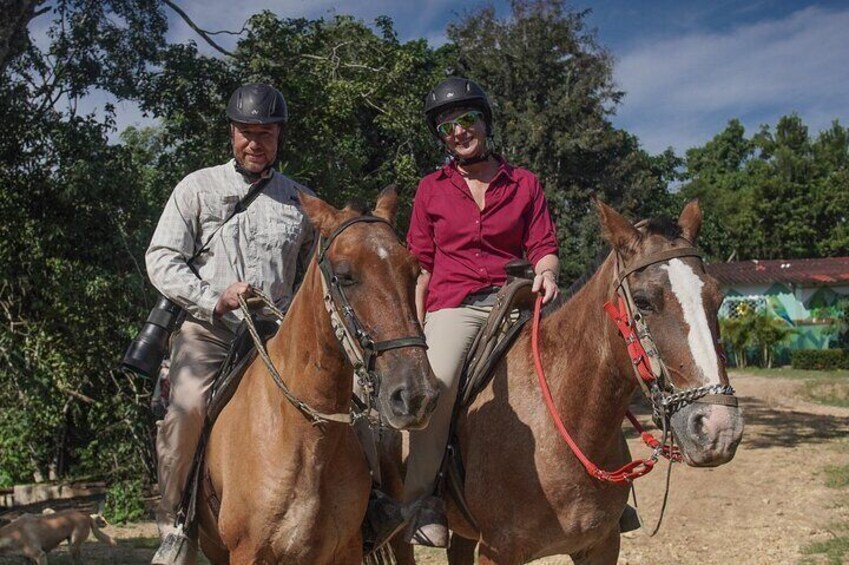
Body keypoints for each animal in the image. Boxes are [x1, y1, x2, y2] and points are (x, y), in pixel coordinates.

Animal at [196, 188, 440, 564]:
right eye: (344, 275)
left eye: (413, 272)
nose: (416, 395)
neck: (304, 435)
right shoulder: (246, 552)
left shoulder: (346, 549)